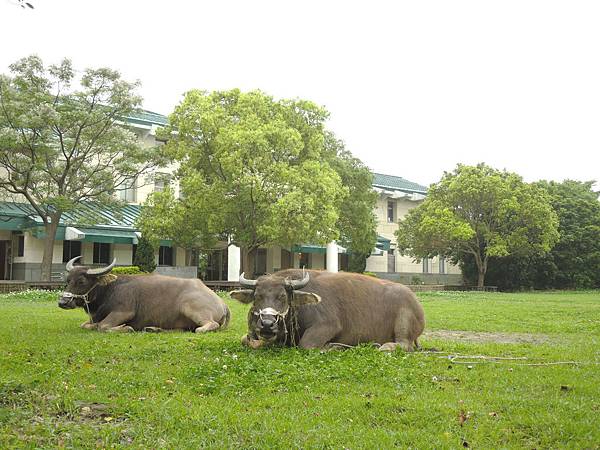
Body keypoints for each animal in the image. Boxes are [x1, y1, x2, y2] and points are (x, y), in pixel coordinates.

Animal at [58, 255, 230, 332]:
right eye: (68, 280)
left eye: (82, 281)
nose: (62, 302)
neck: (109, 290)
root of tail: (222, 303)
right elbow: (86, 325)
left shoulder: (124, 311)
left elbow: (103, 325)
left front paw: (126, 328)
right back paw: (153, 328)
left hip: (190, 308)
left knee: (209, 324)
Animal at [231, 268, 426, 352]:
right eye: (257, 296)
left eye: (283, 297)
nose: (267, 324)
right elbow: (245, 339)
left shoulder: (328, 325)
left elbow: (306, 345)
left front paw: (334, 346)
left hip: (404, 322)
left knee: (405, 344)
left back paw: (384, 346)